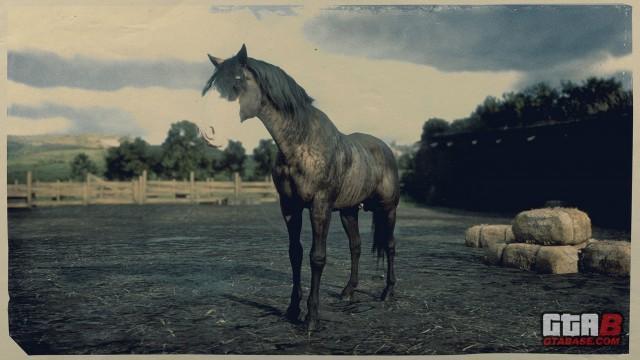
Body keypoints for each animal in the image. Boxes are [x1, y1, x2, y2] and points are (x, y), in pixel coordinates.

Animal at [202, 43, 398, 330]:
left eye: (237, 82)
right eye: (211, 86)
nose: (208, 132)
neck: (301, 143)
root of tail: (386, 149)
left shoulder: (320, 206)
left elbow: (317, 257)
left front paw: (312, 317)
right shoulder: (289, 207)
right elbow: (295, 253)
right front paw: (292, 309)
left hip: (388, 208)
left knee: (391, 245)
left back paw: (388, 292)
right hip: (349, 211)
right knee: (356, 246)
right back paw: (348, 291)